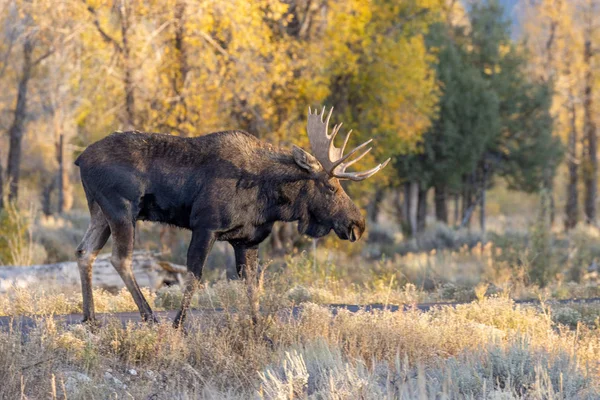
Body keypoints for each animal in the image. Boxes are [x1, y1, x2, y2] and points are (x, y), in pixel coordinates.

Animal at [74, 108, 390, 326]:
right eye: (331, 186)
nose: (358, 224)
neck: (269, 199)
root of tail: (79, 159)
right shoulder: (205, 226)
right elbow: (194, 276)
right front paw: (178, 324)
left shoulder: (247, 240)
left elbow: (251, 285)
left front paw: (258, 326)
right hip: (122, 209)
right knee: (120, 258)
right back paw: (148, 316)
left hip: (99, 211)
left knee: (84, 251)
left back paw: (90, 318)